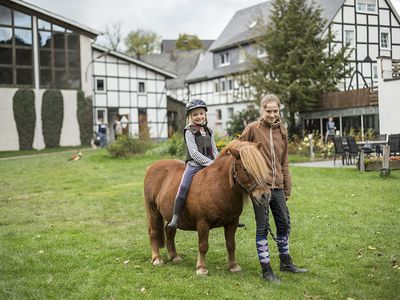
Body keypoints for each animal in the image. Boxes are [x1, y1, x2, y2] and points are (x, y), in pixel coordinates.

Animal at [142, 139, 270, 276]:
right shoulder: (203, 223)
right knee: (153, 232)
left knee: (169, 230)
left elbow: (231, 244)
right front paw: (201, 268)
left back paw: (174, 257)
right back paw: (157, 259)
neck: (218, 186)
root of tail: (152, 166)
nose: (265, 195)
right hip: (153, 211)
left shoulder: (232, 223)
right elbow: (203, 246)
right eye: (245, 169)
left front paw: (233, 266)